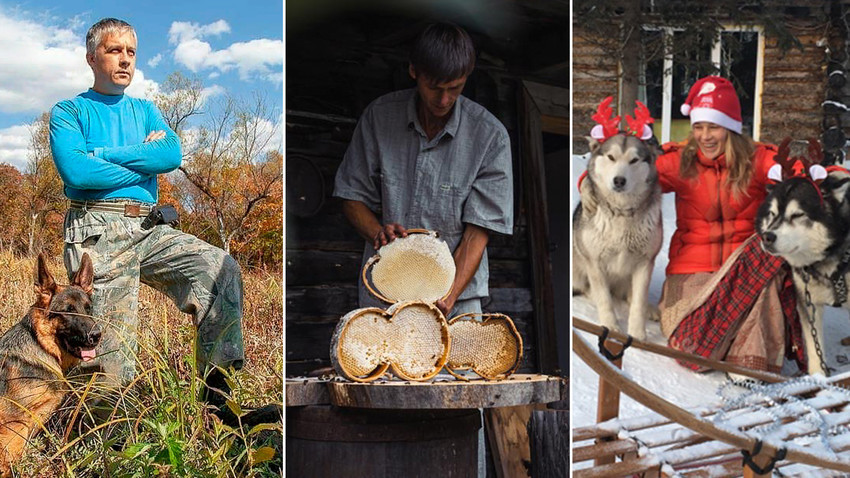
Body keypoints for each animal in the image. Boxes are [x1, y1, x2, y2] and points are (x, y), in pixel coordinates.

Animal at [568, 133, 664, 340]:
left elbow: (638, 301)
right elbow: (604, 299)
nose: (619, 180)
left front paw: (637, 334)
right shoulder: (594, 262)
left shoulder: (645, 262)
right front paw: (611, 327)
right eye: (611, 157)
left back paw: (650, 309)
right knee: (589, 290)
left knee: (631, 295)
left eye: (634, 160)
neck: (622, 212)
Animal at [756, 168, 848, 378]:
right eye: (772, 214)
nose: (767, 237)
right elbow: (815, 349)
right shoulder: (807, 302)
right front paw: (818, 378)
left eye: (797, 214)